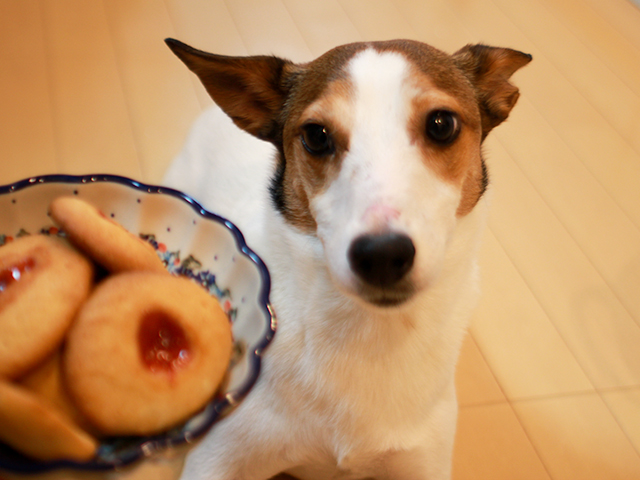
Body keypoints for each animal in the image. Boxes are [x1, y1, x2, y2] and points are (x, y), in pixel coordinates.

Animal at [164, 38, 528, 480]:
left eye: (442, 124)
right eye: (316, 136)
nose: (383, 255)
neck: (369, 332)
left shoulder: (424, 462)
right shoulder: (220, 458)